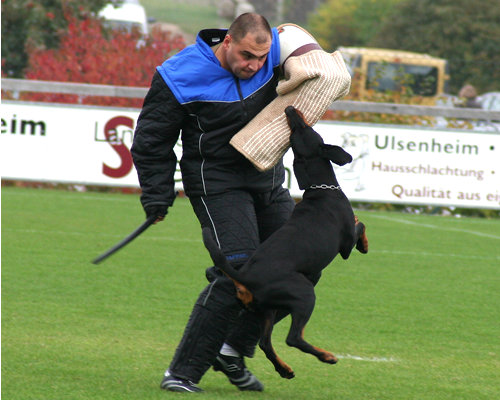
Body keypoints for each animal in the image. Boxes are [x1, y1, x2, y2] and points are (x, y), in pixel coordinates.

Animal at [201, 105, 370, 378]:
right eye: (303, 129)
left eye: (296, 133)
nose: (290, 108)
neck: (319, 189)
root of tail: (245, 277)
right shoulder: (344, 246)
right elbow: (360, 224)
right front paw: (364, 244)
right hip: (304, 294)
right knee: (293, 338)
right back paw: (326, 356)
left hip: (268, 309)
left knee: (265, 342)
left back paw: (284, 369)